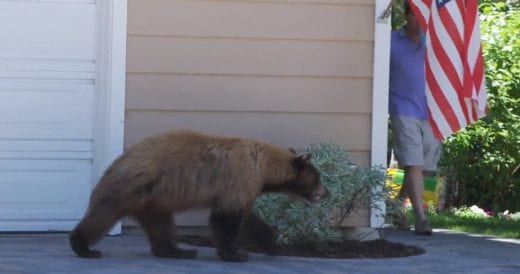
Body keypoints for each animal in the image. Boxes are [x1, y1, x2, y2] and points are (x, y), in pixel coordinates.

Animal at [69, 130, 330, 262]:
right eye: (318, 178)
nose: (326, 193)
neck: (264, 165)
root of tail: (119, 160)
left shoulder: (246, 187)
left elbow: (249, 219)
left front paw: (272, 244)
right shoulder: (239, 178)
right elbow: (227, 218)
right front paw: (236, 253)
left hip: (153, 200)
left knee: (160, 225)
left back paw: (177, 250)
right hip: (131, 187)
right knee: (102, 215)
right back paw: (83, 247)